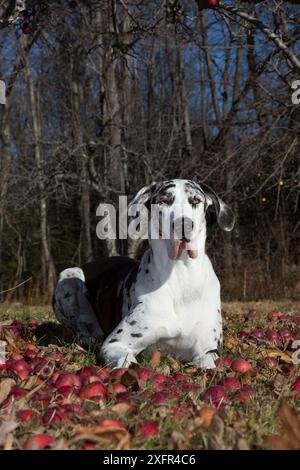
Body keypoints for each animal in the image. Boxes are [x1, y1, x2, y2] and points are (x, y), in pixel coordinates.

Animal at [52, 179, 234, 368]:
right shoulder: (115, 344)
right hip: (69, 278)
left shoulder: (208, 350)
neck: (181, 274)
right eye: (164, 201)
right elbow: (126, 362)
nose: (183, 225)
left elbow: (207, 364)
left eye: (196, 200)